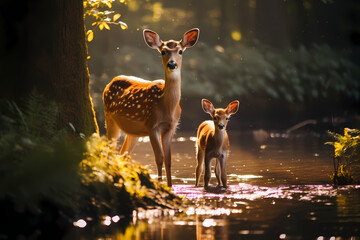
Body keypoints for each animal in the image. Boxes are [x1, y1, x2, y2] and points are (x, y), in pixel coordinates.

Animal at [102, 27, 200, 186]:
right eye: (163, 51)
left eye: (180, 51)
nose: (172, 64)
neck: (167, 106)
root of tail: (109, 82)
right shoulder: (152, 125)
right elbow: (159, 158)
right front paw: (160, 184)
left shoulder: (171, 128)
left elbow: (169, 160)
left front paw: (170, 186)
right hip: (109, 118)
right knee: (109, 149)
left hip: (133, 132)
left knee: (123, 153)